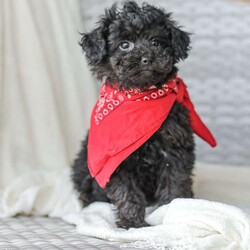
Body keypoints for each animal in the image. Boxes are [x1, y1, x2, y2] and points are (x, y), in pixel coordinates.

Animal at [71, 0, 216, 229]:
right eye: (124, 44)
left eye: (156, 42)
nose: (147, 58)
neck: (142, 96)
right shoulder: (116, 160)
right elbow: (126, 192)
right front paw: (132, 222)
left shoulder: (174, 146)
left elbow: (175, 181)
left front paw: (172, 211)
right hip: (83, 165)